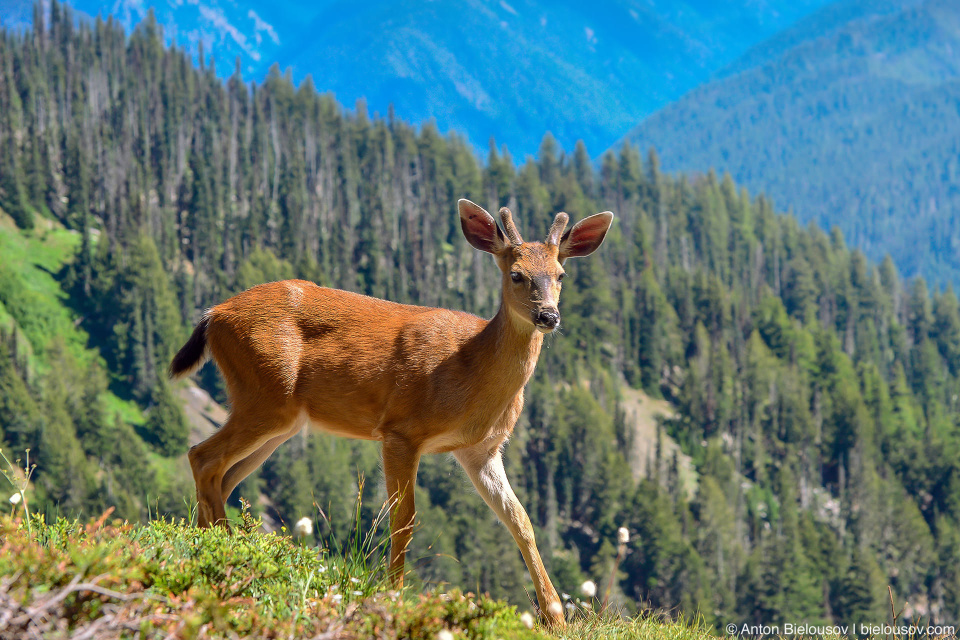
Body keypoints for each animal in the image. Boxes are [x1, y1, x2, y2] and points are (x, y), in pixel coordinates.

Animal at [168, 198, 612, 624]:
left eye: (561, 275)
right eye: (516, 275)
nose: (548, 316)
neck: (469, 368)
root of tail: (213, 315)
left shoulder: (479, 450)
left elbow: (520, 520)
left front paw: (555, 617)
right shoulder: (401, 429)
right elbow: (404, 517)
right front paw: (393, 593)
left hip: (279, 421)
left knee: (222, 476)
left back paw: (210, 544)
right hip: (263, 396)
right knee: (202, 456)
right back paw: (225, 551)